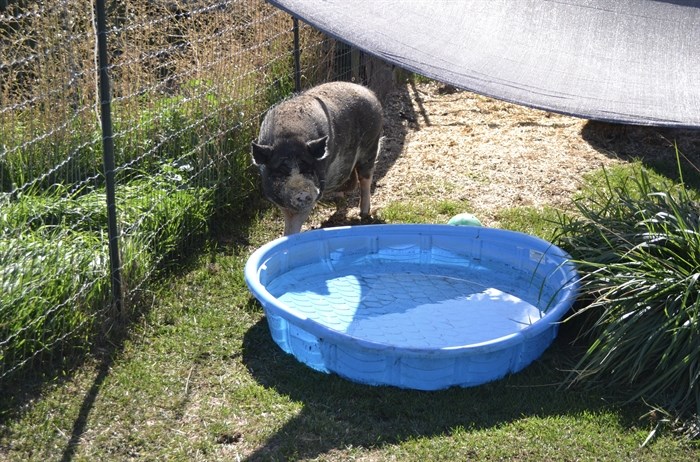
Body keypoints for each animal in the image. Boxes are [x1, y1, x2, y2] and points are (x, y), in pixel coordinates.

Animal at [250, 81, 382, 235]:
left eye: (308, 168)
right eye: (281, 171)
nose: (302, 193)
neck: (289, 138)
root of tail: (369, 92)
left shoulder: (315, 192)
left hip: (371, 144)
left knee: (366, 179)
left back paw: (364, 214)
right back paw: (339, 197)